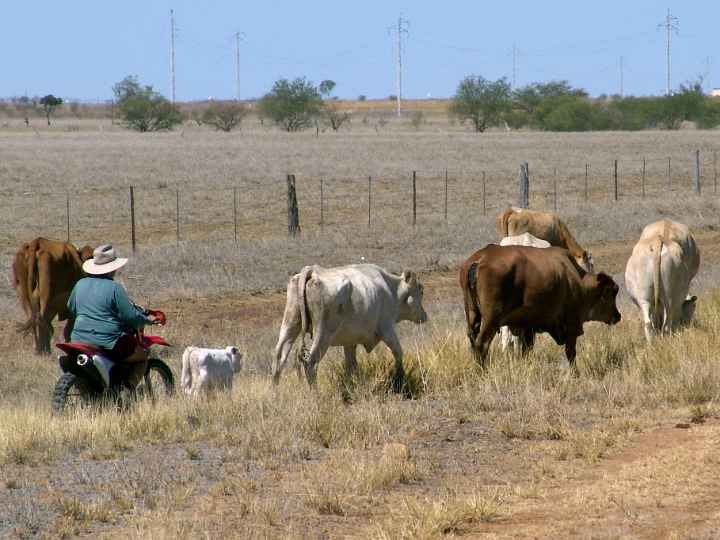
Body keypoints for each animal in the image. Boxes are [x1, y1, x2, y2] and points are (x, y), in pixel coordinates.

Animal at [270, 264, 428, 388]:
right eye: (421, 290)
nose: (424, 316)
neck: (391, 289)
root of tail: (313, 271)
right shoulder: (387, 329)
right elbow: (398, 353)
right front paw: (400, 378)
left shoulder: (350, 342)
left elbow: (351, 366)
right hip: (322, 334)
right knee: (310, 364)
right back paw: (315, 394)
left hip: (290, 324)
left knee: (278, 358)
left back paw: (275, 393)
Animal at [462, 246, 620, 368]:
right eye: (609, 292)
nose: (617, 316)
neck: (576, 280)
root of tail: (480, 260)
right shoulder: (571, 326)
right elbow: (571, 353)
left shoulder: (528, 327)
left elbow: (526, 350)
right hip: (491, 320)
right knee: (482, 344)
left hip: (473, 314)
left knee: (473, 340)